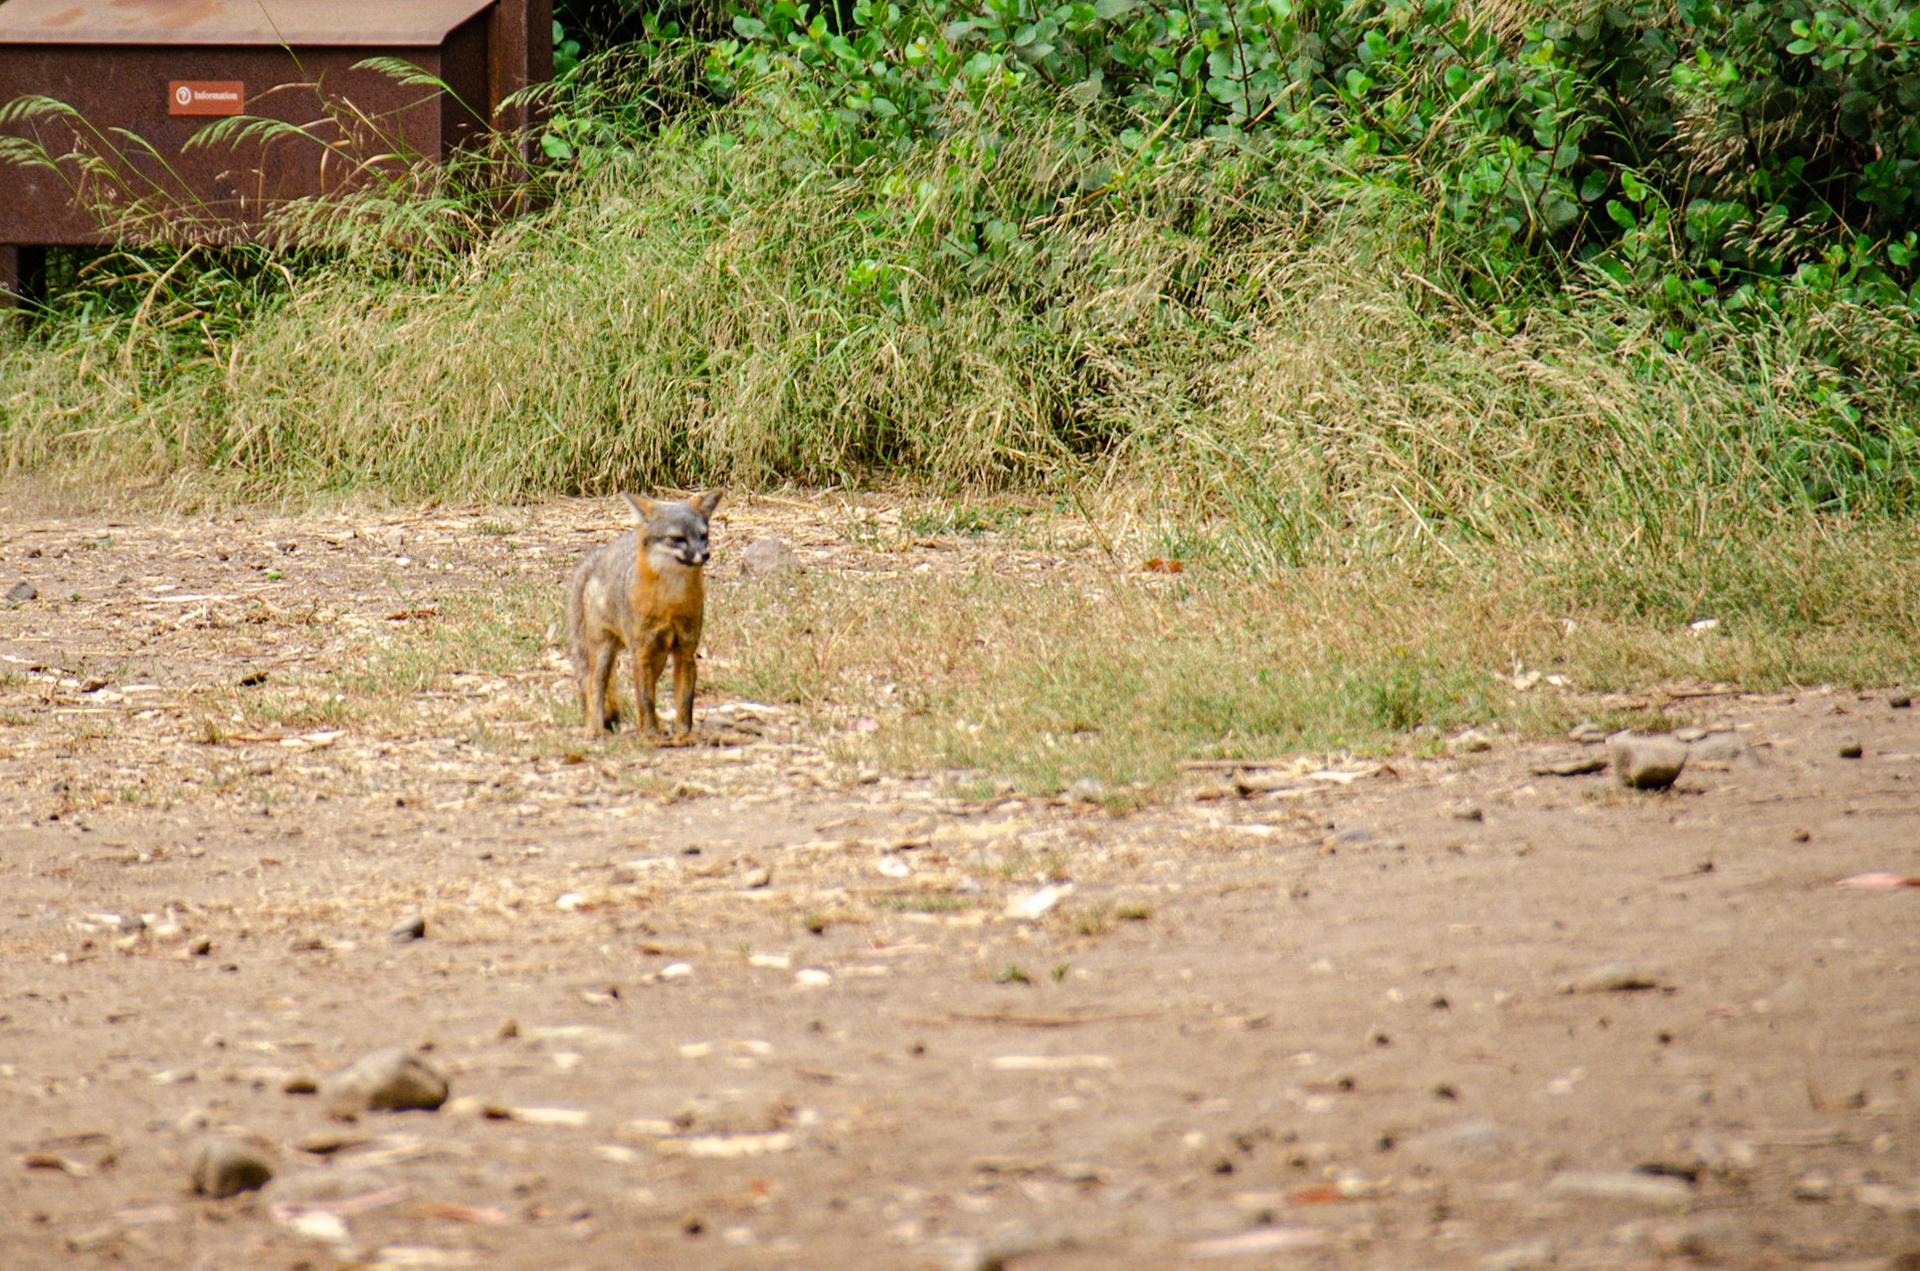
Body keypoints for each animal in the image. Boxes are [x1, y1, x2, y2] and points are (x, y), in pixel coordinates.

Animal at [566, 490, 723, 739]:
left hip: (658, 657)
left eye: (703, 536)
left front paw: (684, 735)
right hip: (603, 652)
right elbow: (646, 700)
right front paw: (650, 736)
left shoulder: (685, 650)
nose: (705, 554)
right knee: (593, 686)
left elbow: (685, 700)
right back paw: (594, 728)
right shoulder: (642, 653)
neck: (670, 603)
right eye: (677, 538)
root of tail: (596, 556)